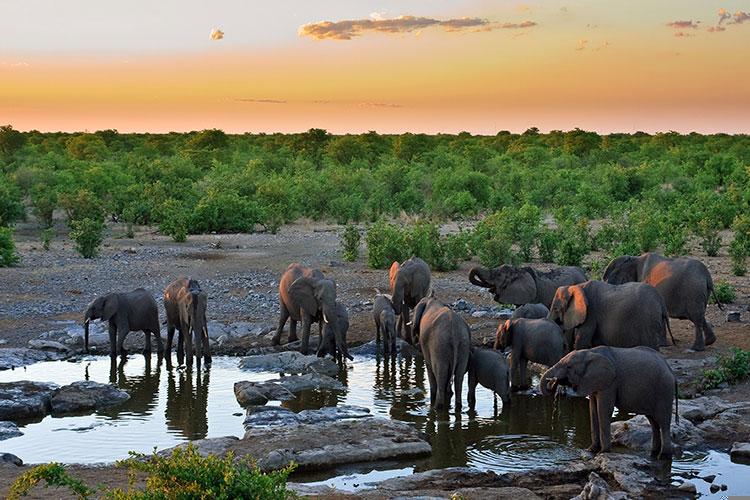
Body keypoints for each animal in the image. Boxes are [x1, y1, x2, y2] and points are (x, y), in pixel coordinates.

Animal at [540, 348, 680, 458]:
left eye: (569, 367)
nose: (553, 383)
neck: (590, 352)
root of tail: (671, 370)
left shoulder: (611, 382)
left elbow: (604, 410)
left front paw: (603, 452)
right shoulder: (593, 382)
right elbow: (593, 410)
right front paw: (590, 450)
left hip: (664, 390)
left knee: (663, 421)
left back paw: (663, 456)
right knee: (653, 422)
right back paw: (653, 453)